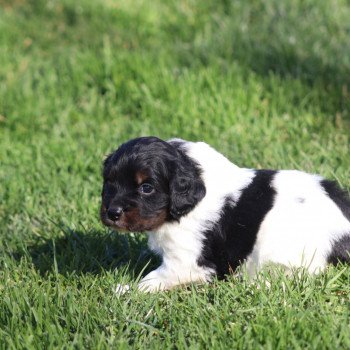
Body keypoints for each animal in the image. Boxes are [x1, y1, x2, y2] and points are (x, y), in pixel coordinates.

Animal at [100, 137, 350, 292]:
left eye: (146, 187)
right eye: (110, 182)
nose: (112, 213)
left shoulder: (185, 261)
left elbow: (151, 280)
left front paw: (125, 290)